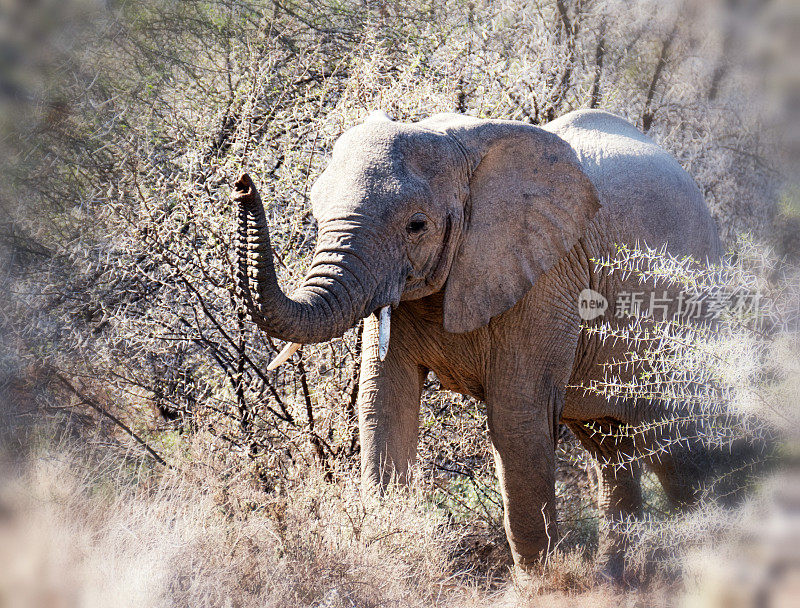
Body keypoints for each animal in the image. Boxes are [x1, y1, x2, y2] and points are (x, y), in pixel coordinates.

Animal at [233, 109, 724, 580]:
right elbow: (383, 406)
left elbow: (516, 421)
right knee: (613, 449)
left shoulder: (545, 276)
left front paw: (539, 589)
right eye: (317, 216)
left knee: (677, 444)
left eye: (417, 226)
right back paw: (612, 580)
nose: (242, 184)